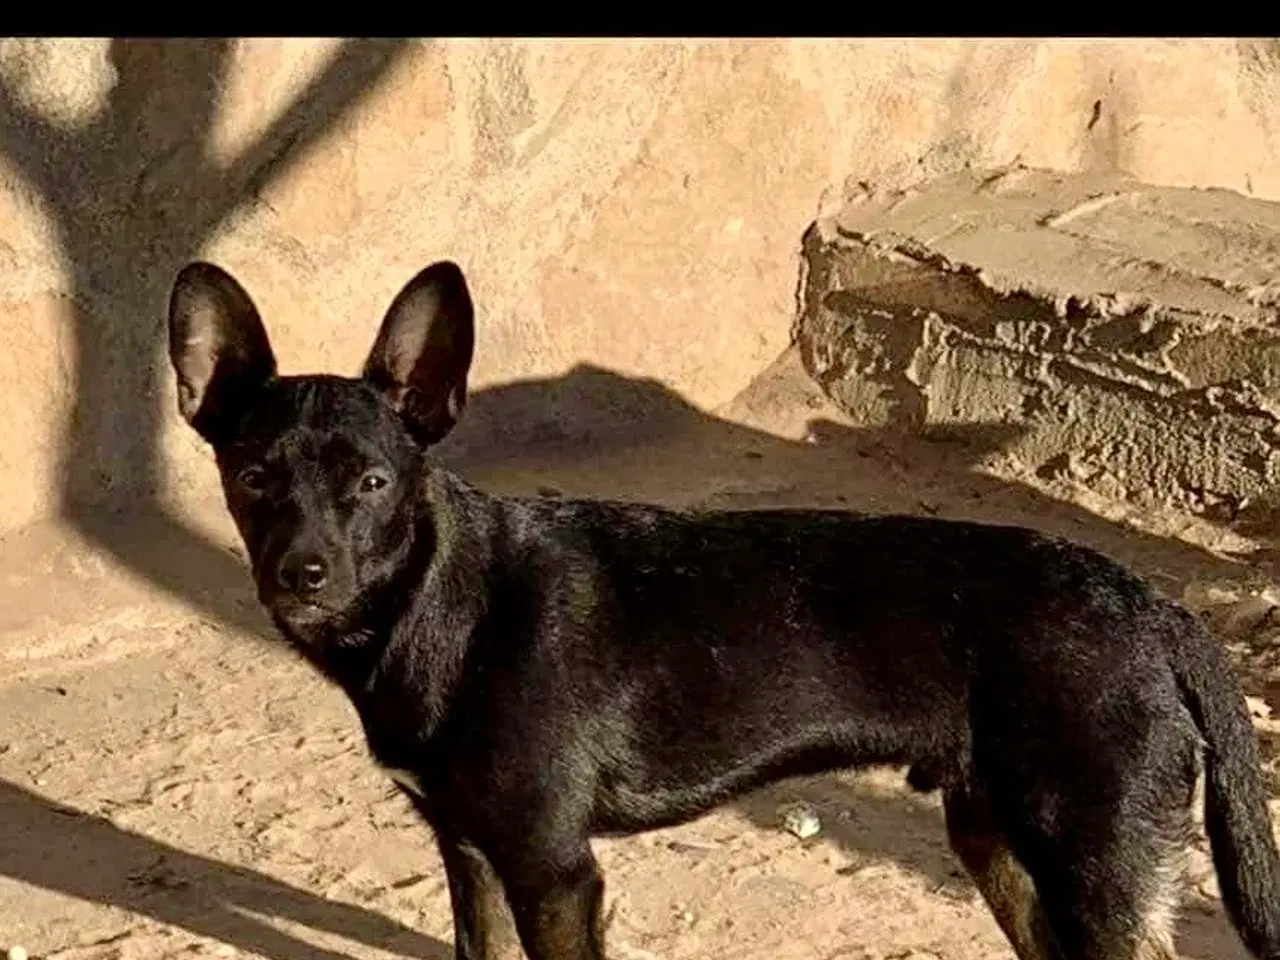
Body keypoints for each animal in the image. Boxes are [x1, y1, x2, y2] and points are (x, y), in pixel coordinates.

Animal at [170, 261, 1280, 960]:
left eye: (371, 483)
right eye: (255, 477)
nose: (302, 575)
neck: (443, 605)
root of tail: (1156, 608)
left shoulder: (553, 869)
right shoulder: (471, 855)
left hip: (1091, 860)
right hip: (997, 841)